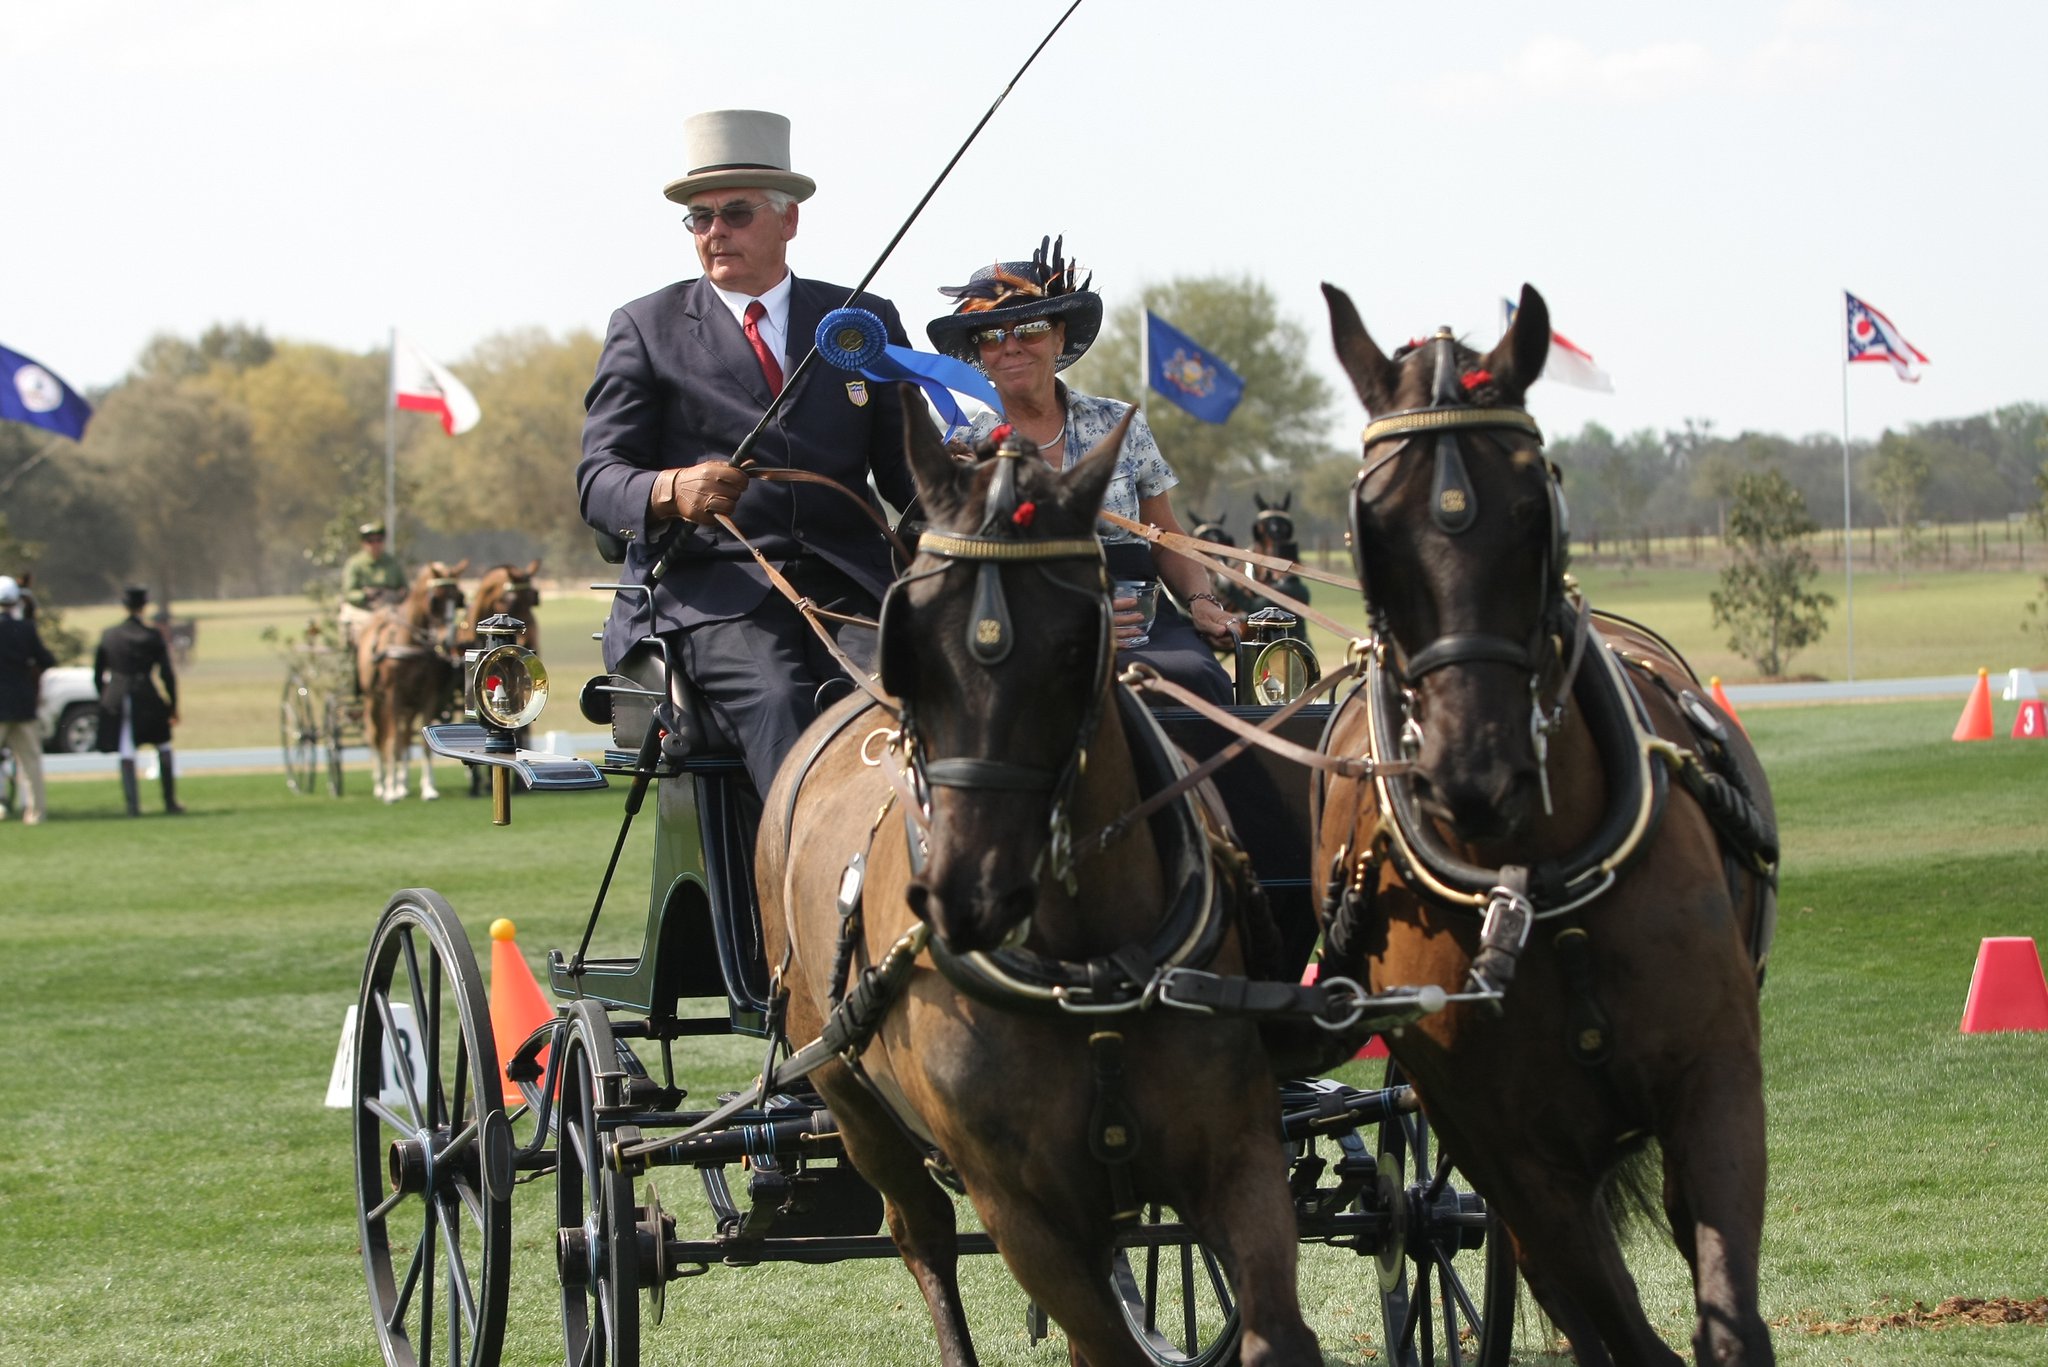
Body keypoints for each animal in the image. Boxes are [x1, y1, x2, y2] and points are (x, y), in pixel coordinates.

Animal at [364, 561, 471, 807]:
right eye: (435, 600)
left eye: (458, 598)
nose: (446, 641)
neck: (410, 642)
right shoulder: (393, 696)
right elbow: (391, 743)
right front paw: (390, 791)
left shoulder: (427, 696)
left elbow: (423, 743)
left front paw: (428, 789)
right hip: (373, 699)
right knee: (376, 737)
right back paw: (381, 785)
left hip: (409, 705)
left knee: (404, 738)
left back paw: (402, 784)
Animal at [761, 397, 1318, 1367]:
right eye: (910, 644)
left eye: (1073, 645)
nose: (972, 895)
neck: (1087, 962)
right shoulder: (1023, 1212)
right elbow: (1100, 1340)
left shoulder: (1240, 1149)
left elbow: (1274, 1334)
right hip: (847, 1094)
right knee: (921, 1234)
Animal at [1310, 282, 1777, 1360]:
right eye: (1371, 522)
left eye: (1535, 507)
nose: (1473, 768)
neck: (1534, 885)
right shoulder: (1519, 1163)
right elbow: (1621, 1331)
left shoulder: (1716, 1086)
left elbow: (1727, 1323)